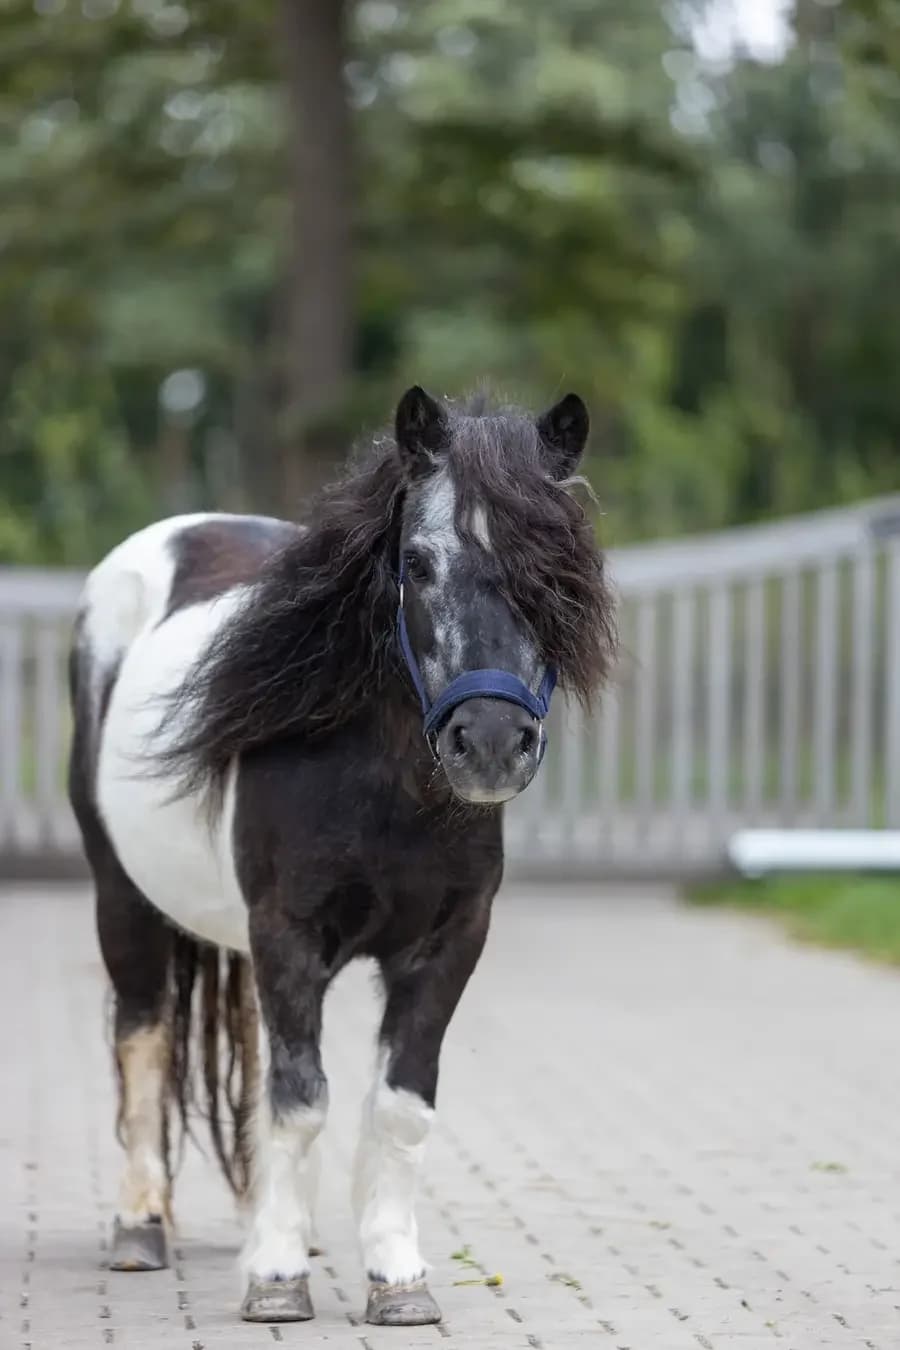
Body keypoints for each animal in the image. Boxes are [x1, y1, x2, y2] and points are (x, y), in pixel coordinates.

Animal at [67, 386, 616, 1326]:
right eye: (418, 564)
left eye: (558, 570)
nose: (491, 744)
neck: (383, 783)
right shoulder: (289, 934)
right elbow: (302, 1101)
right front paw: (278, 1281)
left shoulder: (447, 947)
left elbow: (397, 1106)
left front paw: (396, 1280)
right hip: (124, 903)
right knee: (144, 1036)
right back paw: (141, 1228)